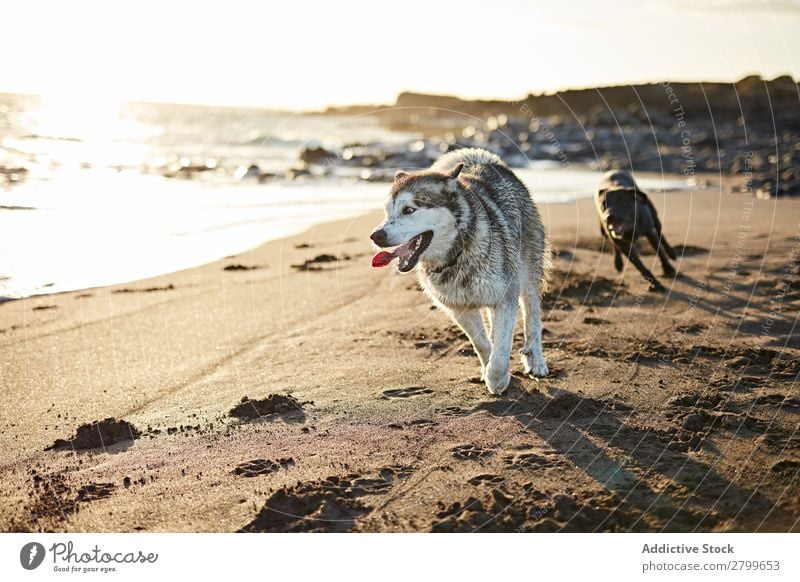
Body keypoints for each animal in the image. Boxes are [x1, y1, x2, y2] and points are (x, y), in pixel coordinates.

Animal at [370, 148, 552, 400]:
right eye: (387, 212)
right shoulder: (458, 308)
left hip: (529, 272)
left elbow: (501, 348)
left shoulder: (506, 297)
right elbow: (483, 344)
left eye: (409, 210)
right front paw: (489, 370)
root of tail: (483, 160)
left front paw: (497, 378)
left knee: (532, 317)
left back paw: (536, 362)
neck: (457, 255)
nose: (376, 236)